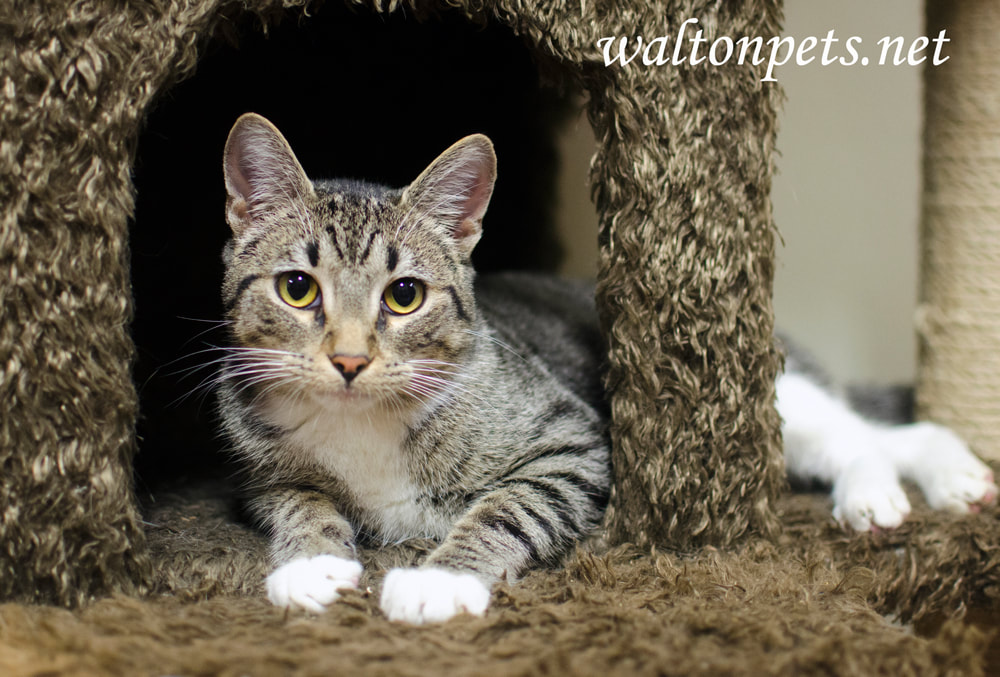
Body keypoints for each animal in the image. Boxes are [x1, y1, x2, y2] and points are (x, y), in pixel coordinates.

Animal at [217, 113, 992, 624]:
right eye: (297, 288)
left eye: (404, 295)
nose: (349, 359)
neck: (362, 424)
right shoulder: (258, 471)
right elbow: (297, 498)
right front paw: (311, 562)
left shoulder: (572, 442)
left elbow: (507, 507)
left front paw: (440, 580)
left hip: (767, 404)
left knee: (870, 435)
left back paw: (897, 491)